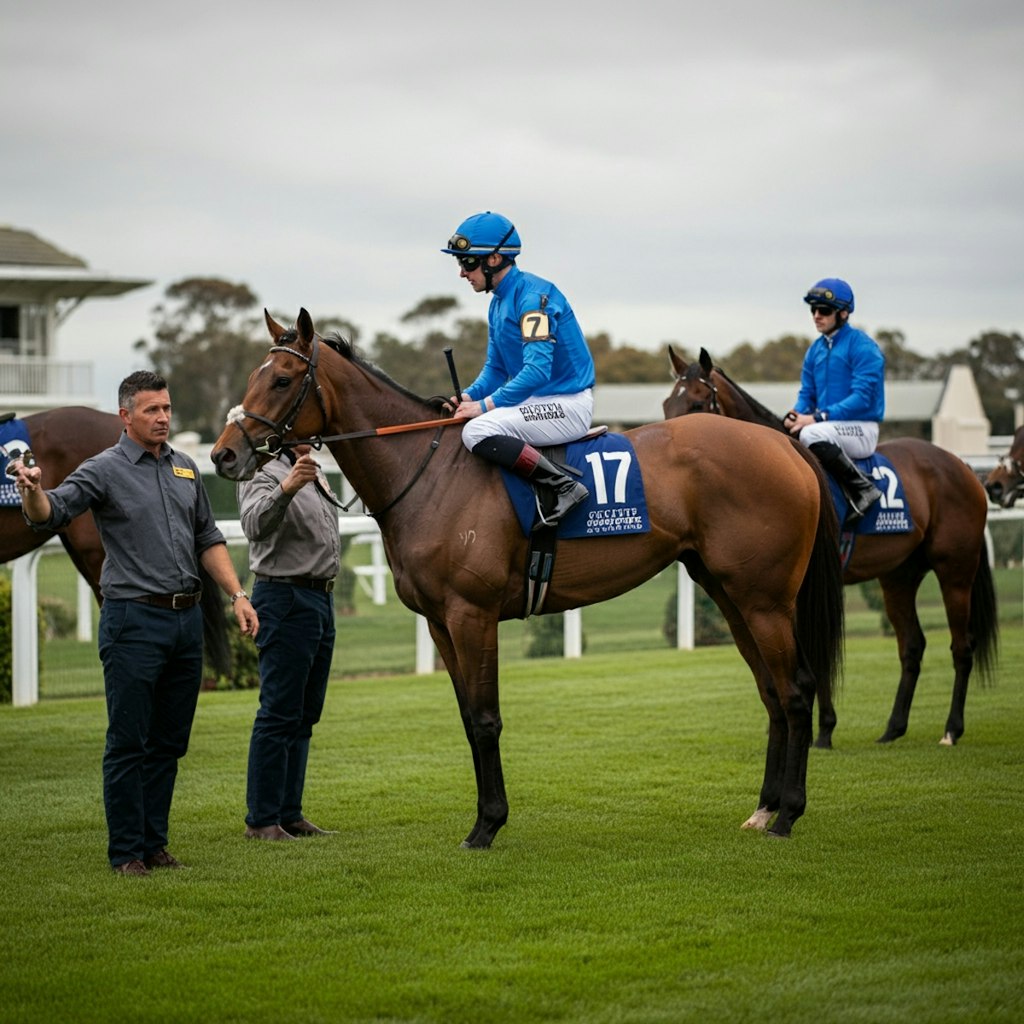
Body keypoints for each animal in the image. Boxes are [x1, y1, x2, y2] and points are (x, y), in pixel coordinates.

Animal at [211, 307, 843, 843]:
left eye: (283, 379)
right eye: (256, 375)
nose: (223, 455)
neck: (430, 472)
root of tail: (785, 446)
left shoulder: (472, 614)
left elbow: (487, 719)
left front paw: (487, 825)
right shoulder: (440, 623)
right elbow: (468, 719)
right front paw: (485, 818)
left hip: (765, 599)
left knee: (795, 690)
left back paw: (787, 815)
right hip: (730, 593)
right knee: (770, 690)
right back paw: (763, 809)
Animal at [659, 348, 995, 749]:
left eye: (697, 402)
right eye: (667, 403)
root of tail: (962, 466)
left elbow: (818, 655)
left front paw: (822, 731)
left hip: (955, 570)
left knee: (962, 646)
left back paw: (951, 729)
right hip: (898, 576)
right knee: (912, 646)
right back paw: (893, 727)